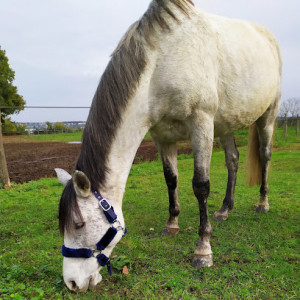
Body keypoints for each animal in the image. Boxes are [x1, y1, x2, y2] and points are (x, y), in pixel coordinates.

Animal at [55, 0, 282, 290]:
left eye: (79, 224)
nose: (71, 282)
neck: (161, 63)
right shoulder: (162, 137)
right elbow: (171, 180)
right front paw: (172, 224)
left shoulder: (201, 124)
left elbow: (200, 185)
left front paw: (203, 250)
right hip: (226, 125)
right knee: (233, 161)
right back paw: (224, 209)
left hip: (267, 117)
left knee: (264, 156)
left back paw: (262, 203)